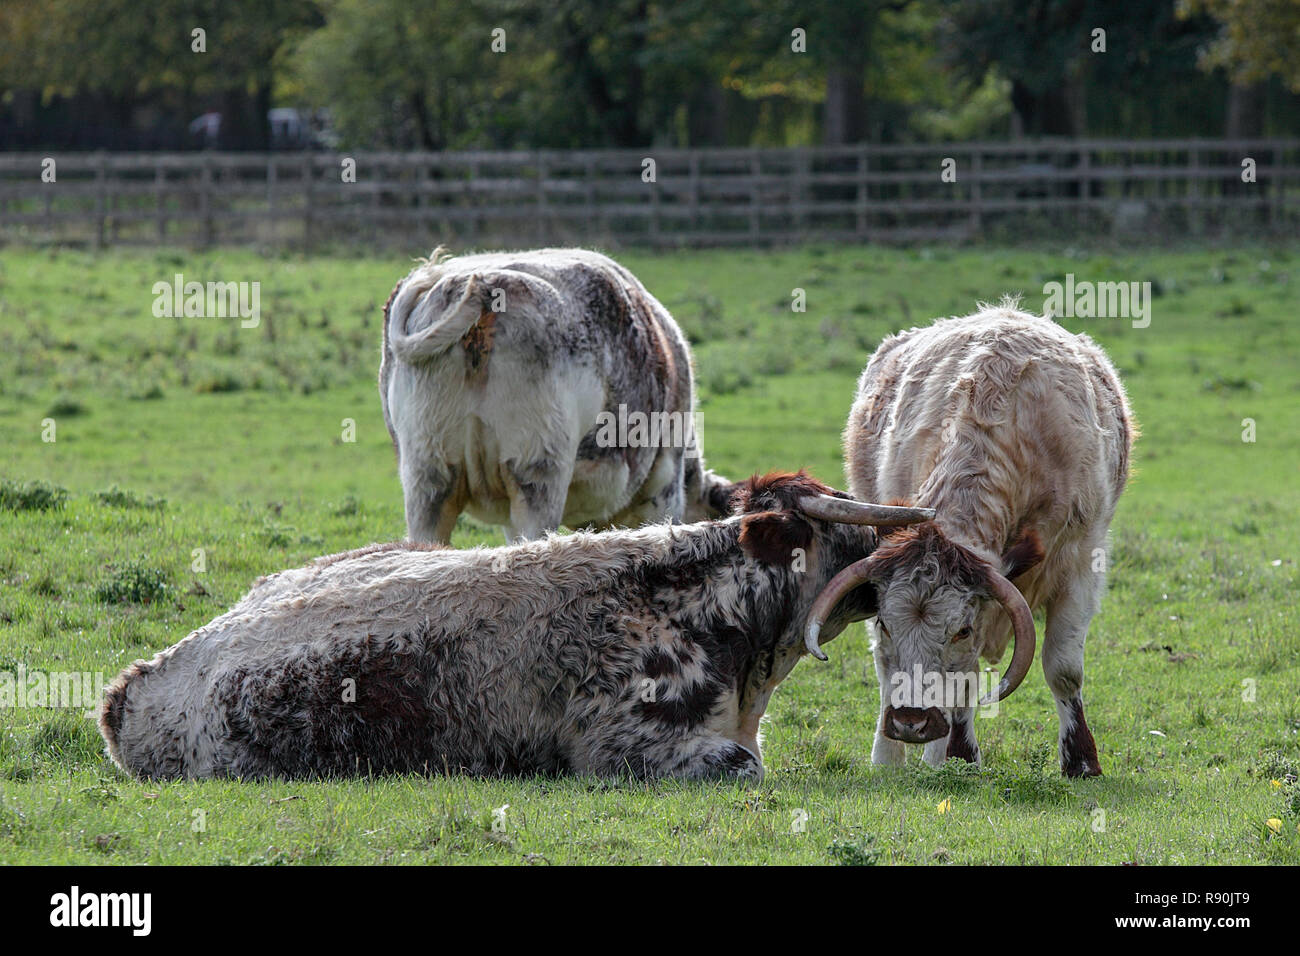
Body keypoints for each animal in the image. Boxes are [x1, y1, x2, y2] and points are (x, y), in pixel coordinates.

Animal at [806, 304, 1133, 780]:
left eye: (961, 629)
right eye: (886, 622)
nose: (911, 722)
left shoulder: (1079, 567)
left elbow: (1063, 669)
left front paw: (1081, 761)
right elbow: (954, 679)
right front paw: (957, 756)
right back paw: (893, 758)